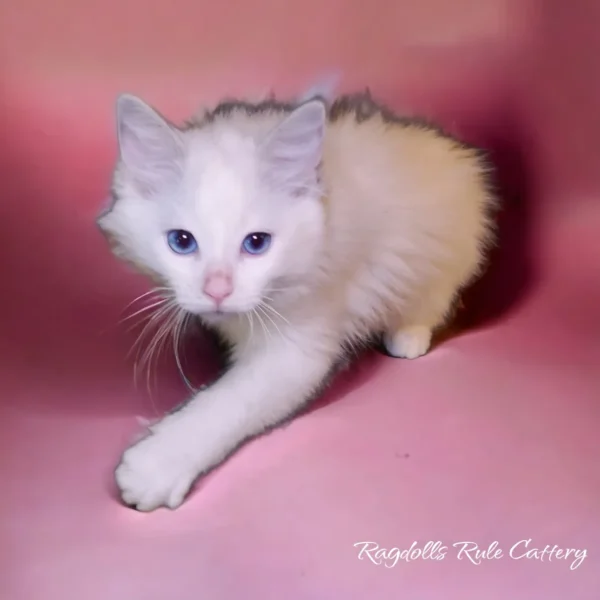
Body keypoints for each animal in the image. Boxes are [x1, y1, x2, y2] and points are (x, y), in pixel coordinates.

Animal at [97, 88, 496, 510]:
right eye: (182, 242)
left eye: (257, 243)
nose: (218, 290)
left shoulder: (298, 346)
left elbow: (226, 403)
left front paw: (154, 466)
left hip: (441, 258)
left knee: (432, 301)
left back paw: (406, 337)